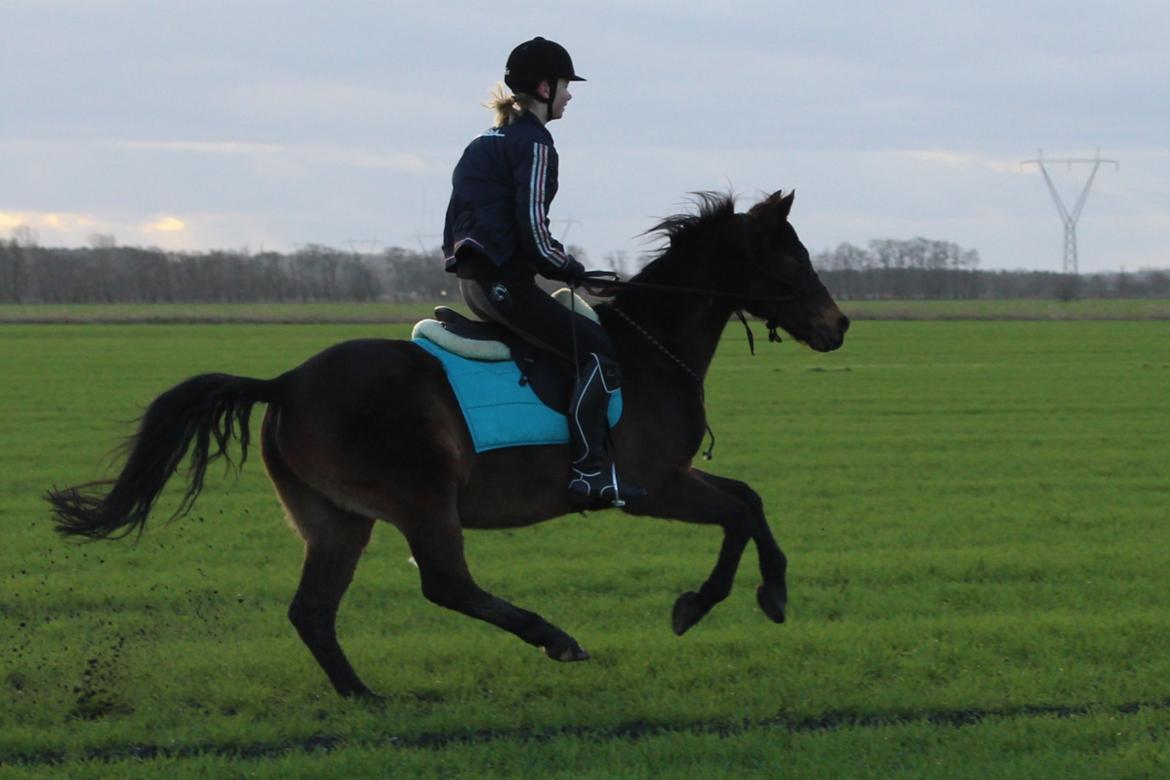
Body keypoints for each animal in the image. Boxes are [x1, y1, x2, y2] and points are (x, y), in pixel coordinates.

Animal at [47, 190, 851, 701]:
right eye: (790, 261)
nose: (838, 325)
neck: (651, 348)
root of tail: (285, 381)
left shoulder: (670, 481)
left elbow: (749, 502)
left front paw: (763, 593)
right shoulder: (652, 485)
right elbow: (740, 511)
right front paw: (718, 601)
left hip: (338, 519)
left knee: (313, 611)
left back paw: (362, 696)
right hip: (422, 498)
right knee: (445, 583)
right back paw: (553, 638)